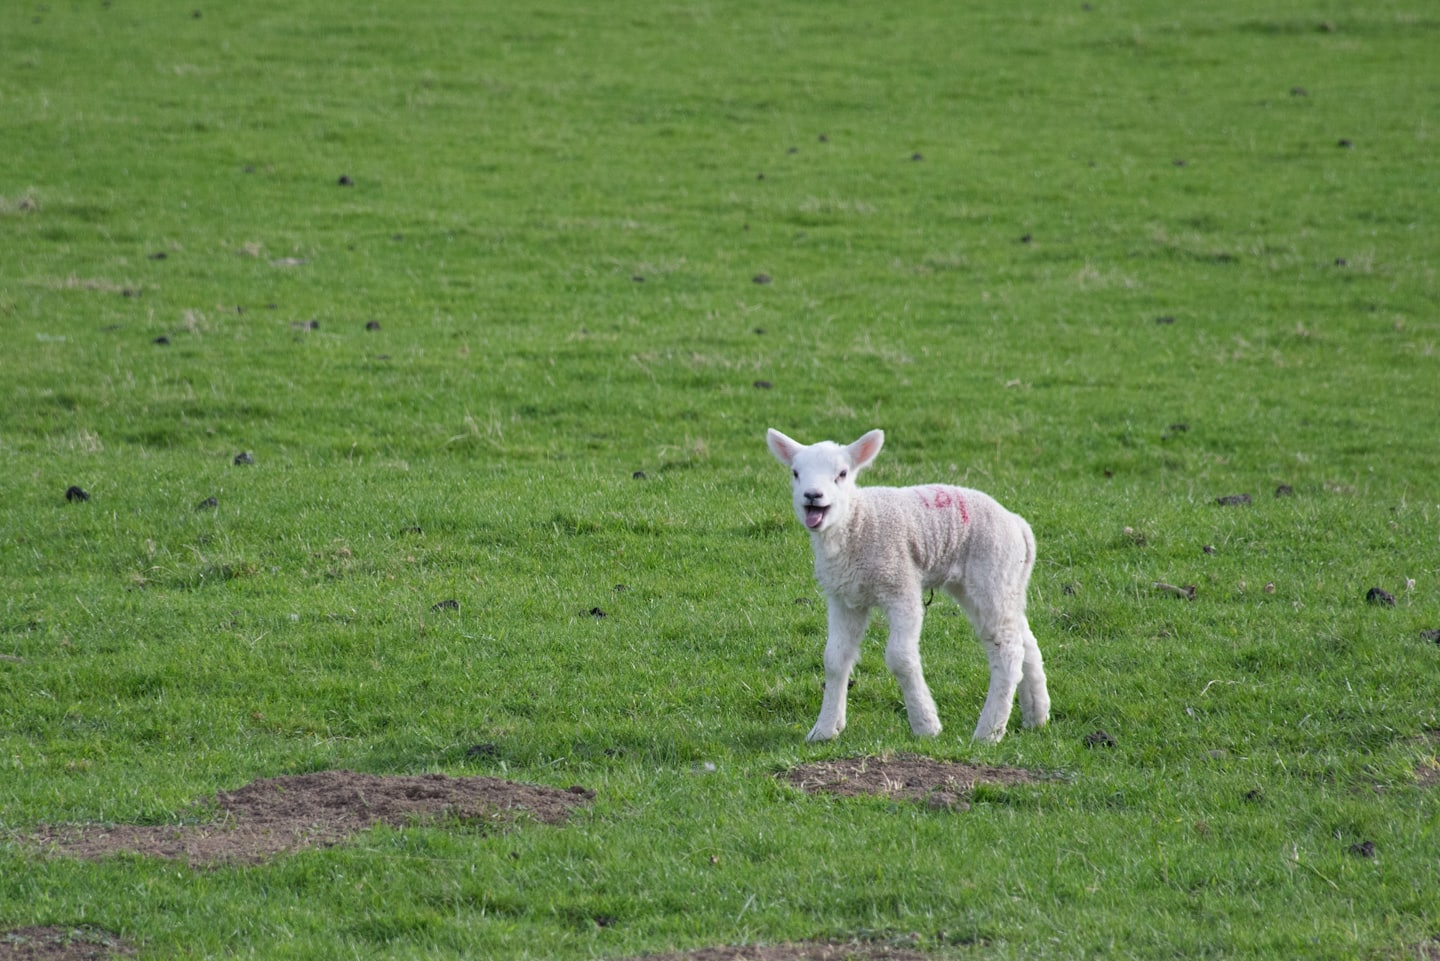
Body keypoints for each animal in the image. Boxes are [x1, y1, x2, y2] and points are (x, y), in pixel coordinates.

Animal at [765, 428, 1050, 743]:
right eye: (795, 473)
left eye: (842, 473)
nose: (812, 496)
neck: (857, 523)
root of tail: (1018, 524)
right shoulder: (845, 597)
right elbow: (835, 658)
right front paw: (825, 729)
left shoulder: (900, 585)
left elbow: (900, 658)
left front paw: (926, 725)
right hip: (1002, 582)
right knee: (1025, 641)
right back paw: (1036, 715)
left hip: (992, 572)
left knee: (1008, 650)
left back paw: (988, 731)